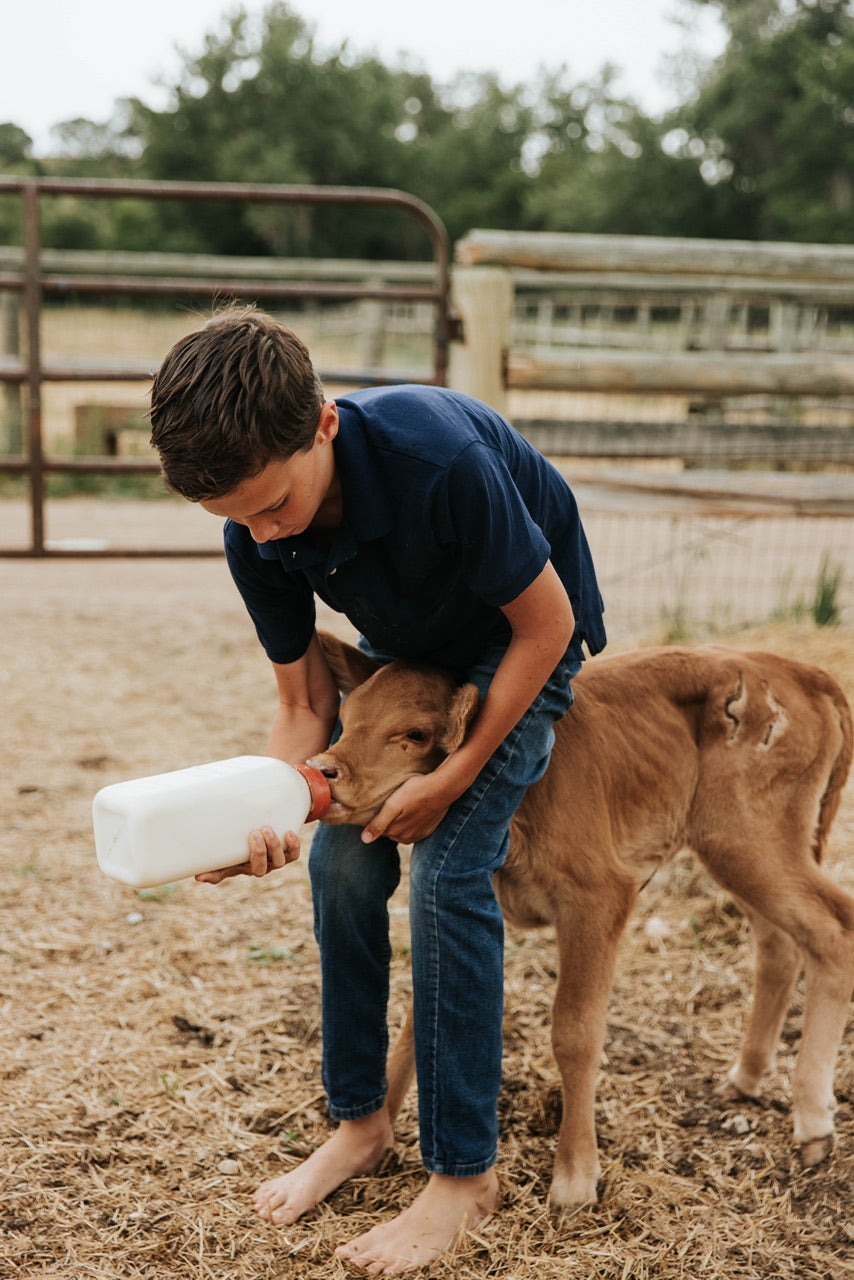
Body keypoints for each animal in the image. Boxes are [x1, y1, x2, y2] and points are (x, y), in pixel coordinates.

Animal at [311, 634, 850, 1213]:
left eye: (413, 734)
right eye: (347, 716)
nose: (324, 769)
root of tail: (793, 668)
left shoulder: (599, 897)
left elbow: (575, 1031)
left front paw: (574, 1178)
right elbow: (419, 1016)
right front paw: (371, 1135)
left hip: (749, 838)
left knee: (832, 929)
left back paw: (813, 1116)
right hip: (738, 848)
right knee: (780, 942)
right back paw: (748, 1075)